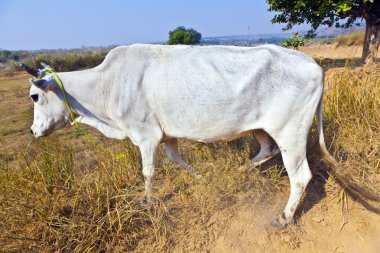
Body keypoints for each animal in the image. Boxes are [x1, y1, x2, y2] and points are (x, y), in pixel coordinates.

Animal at [21, 44, 332, 228]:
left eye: (35, 96)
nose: (34, 131)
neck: (108, 85)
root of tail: (314, 65)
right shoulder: (166, 135)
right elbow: (177, 160)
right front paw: (203, 178)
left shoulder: (145, 136)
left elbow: (148, 172)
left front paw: (146, 202)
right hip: (260, 128)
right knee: (267, 151)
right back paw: (241, 170)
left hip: (290, 132)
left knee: (300, 176)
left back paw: (284, 217)